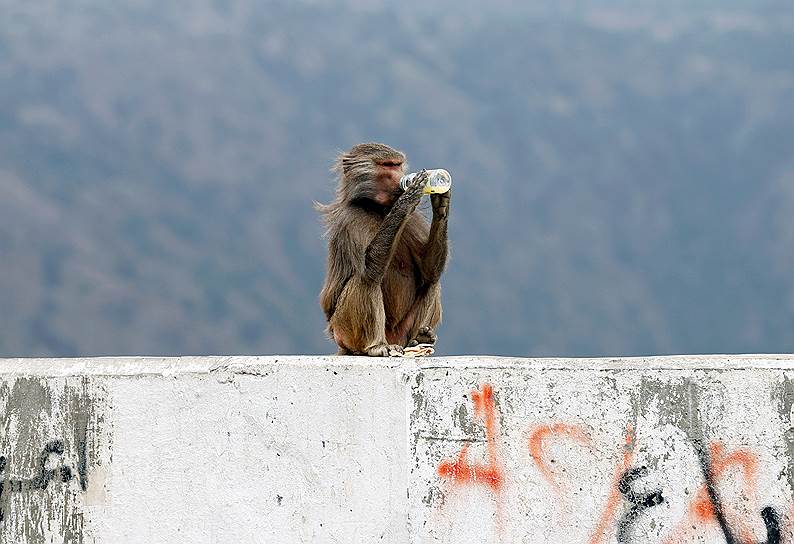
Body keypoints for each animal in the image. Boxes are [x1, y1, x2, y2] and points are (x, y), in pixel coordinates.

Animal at [318, 143, 452, 356]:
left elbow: (429, 270)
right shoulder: (351, 220)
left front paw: (441, 203)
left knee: (432, 282)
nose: (401, 178)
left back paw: (419, 338)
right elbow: (369, 268)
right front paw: (408, 197)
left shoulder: (413, 221)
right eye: (387, 165)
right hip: (344, 331)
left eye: (398, 165)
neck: (378, 209)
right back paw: (376, 346)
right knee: (366, 280)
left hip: (402, 332)